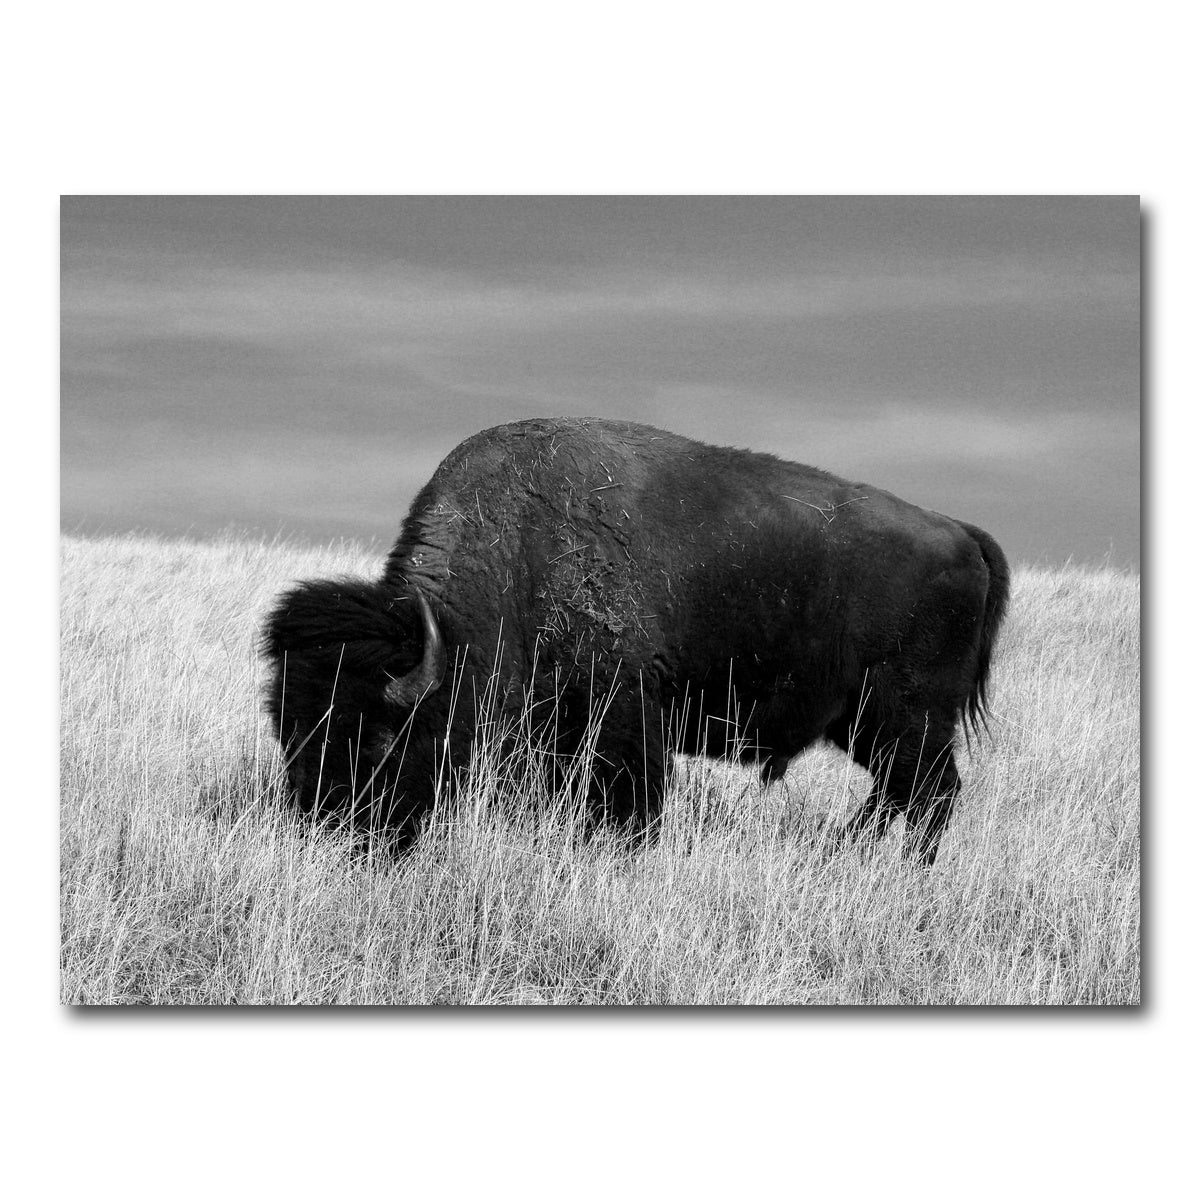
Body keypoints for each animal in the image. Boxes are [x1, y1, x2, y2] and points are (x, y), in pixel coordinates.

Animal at [263, 417, 1008, 864]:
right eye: (288, 730)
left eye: (377, 737)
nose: (325, 829)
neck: (517, 553)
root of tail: (961, 532)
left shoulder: (623, 712)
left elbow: (630, 799)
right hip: (865, 723)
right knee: (900, 792)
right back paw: (851, 853)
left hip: (907, 716)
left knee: (929, 793)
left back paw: (901, 867)